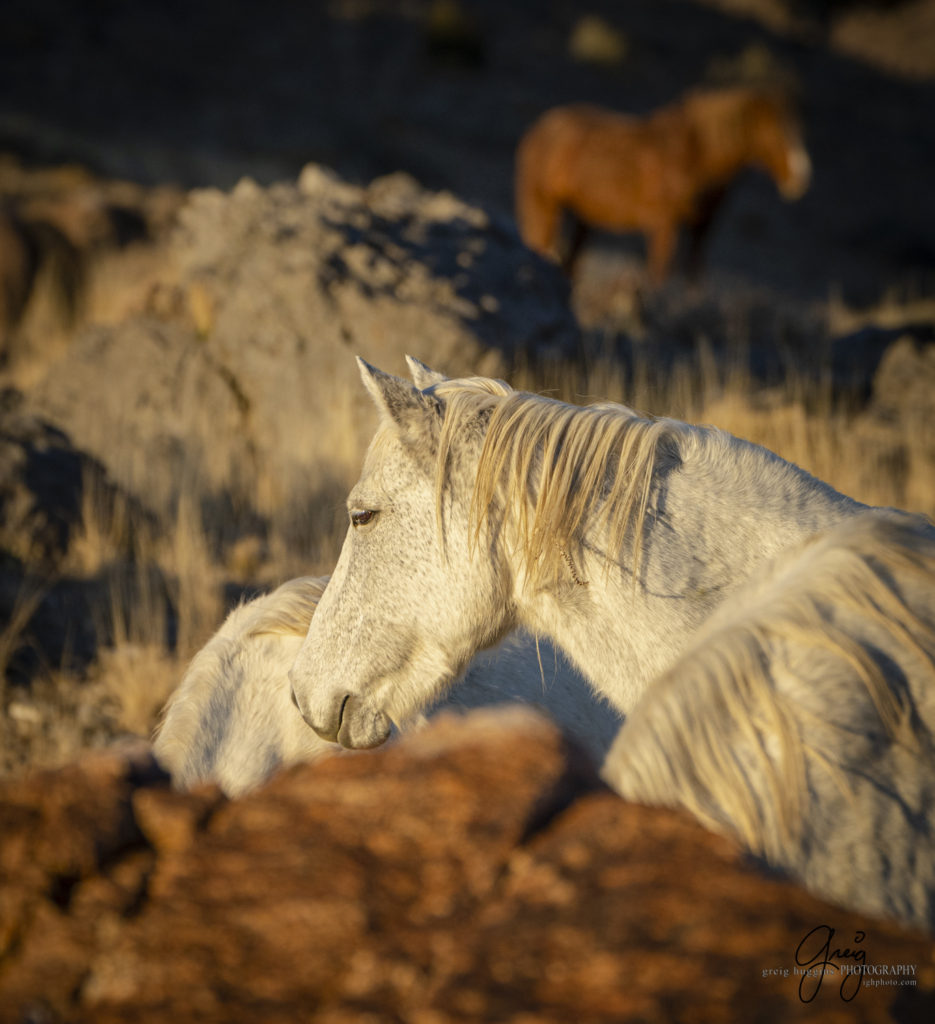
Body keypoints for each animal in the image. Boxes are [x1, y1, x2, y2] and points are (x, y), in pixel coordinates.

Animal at [518, 85, 811, 280]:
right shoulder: (664, 225)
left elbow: (693, 280)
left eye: (798, 128)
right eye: (774, 132)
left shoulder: (702, 230)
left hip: (584, 219)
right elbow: (658, 276)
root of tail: (542, 126)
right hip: (543, 208)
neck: (695, 156)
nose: (802, 175)